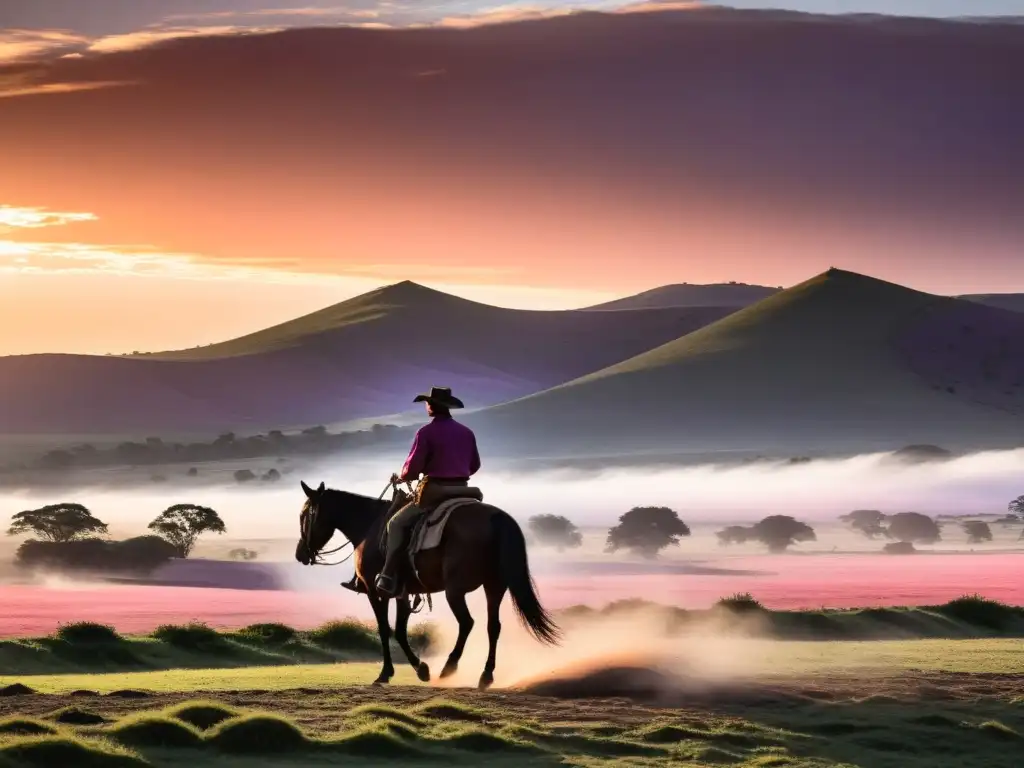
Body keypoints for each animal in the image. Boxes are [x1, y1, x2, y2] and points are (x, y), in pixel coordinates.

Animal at [292, 481, 561, 692]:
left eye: (304, 516)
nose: (300, 553)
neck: (368, 525)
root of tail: (498, 518)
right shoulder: (403, 592)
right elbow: (400, 630)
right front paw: (419, 669)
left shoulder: (375, 591)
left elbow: (385, 629)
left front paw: (391, 673)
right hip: (494, 586)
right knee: (493, 626)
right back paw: (485, 676)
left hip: (455, 590)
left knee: (467, 623)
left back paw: (449, 668)